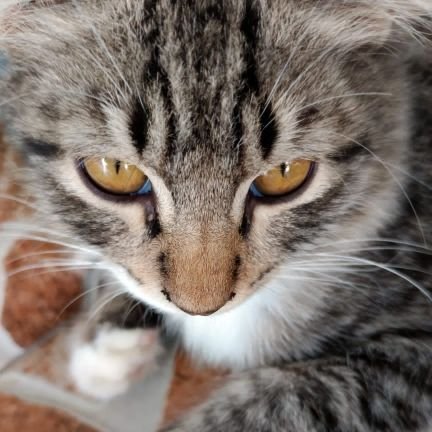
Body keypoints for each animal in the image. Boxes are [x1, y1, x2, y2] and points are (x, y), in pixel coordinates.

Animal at [0, 0, 432, 432]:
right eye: (115, 171)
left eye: (285, 174)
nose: (199, 308)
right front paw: (110, 339)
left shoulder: (404, 364)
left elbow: (283, 403)